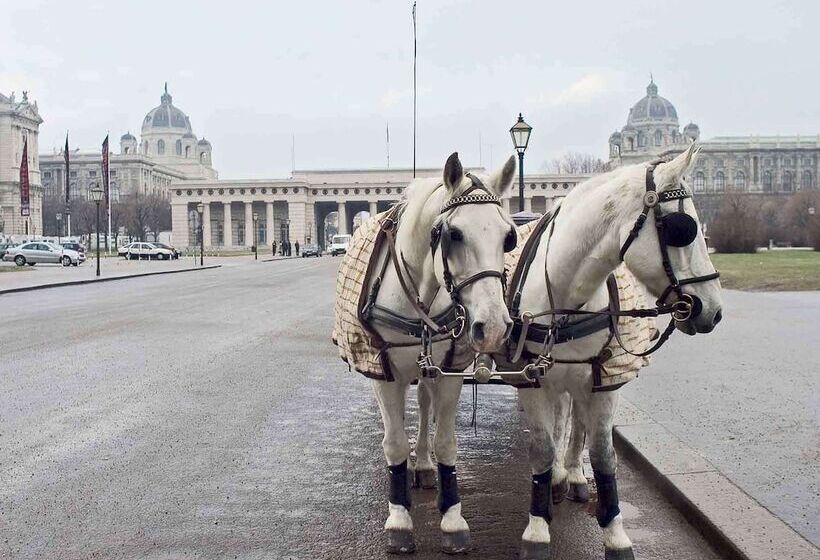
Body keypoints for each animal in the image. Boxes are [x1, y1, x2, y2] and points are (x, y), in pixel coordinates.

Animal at [366, 151, 516, 552]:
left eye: (508, 237)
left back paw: (422, 466)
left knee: (424, 406)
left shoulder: (451, 371)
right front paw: (399, 519)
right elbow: (393, 443)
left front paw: (452, 518)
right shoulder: (384, 375)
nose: (494, 328)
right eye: (454, 234)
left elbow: (446, 442)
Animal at [500, 145, 724, 560]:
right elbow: (541, 449)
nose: (714, 310)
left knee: (575, 423)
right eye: (681, 228)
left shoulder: (603, 382)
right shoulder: (534, 381)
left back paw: (571, 474)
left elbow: (604, 455)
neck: (567, 300)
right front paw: (537, 528)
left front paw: (615, 534)